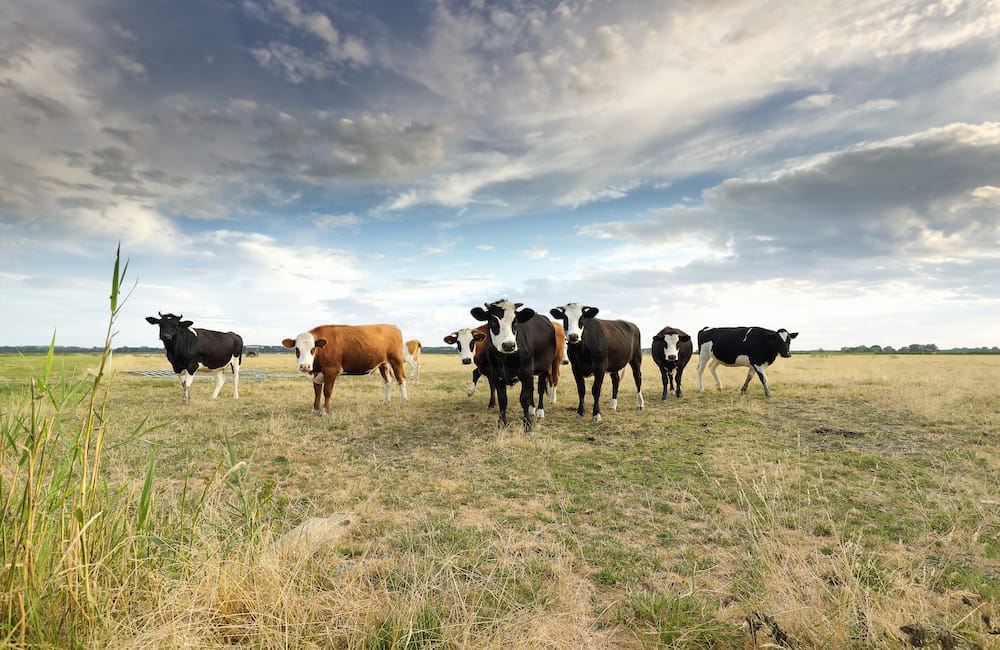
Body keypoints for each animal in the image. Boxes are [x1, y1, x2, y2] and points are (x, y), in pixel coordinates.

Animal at [472, 298, 560, 430]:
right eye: (492, 321)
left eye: (515, 322)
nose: (508, 345)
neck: (506, 359)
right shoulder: (497, 375)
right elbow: (503, 400)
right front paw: (502, 424)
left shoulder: (526, 372)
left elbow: (524, 398)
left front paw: (527, 425)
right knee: (532, 388)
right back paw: (532, 408)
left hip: (544, 366)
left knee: (539, 388)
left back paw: (539, 411)